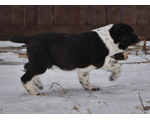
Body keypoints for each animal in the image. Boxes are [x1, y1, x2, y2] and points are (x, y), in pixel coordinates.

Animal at [9, 23, 141, 95]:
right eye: (131, 32)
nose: (139, 38)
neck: (109, 37)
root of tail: (30, 38)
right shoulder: (100, 60)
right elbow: (116, 64)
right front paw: (113, 77)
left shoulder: (84, 68)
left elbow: (84, 79)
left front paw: (90, 87)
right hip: (40, 64)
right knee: (25, 77)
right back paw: (34, 92)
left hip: (40, 62)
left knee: (27, 67)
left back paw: (38, 84)